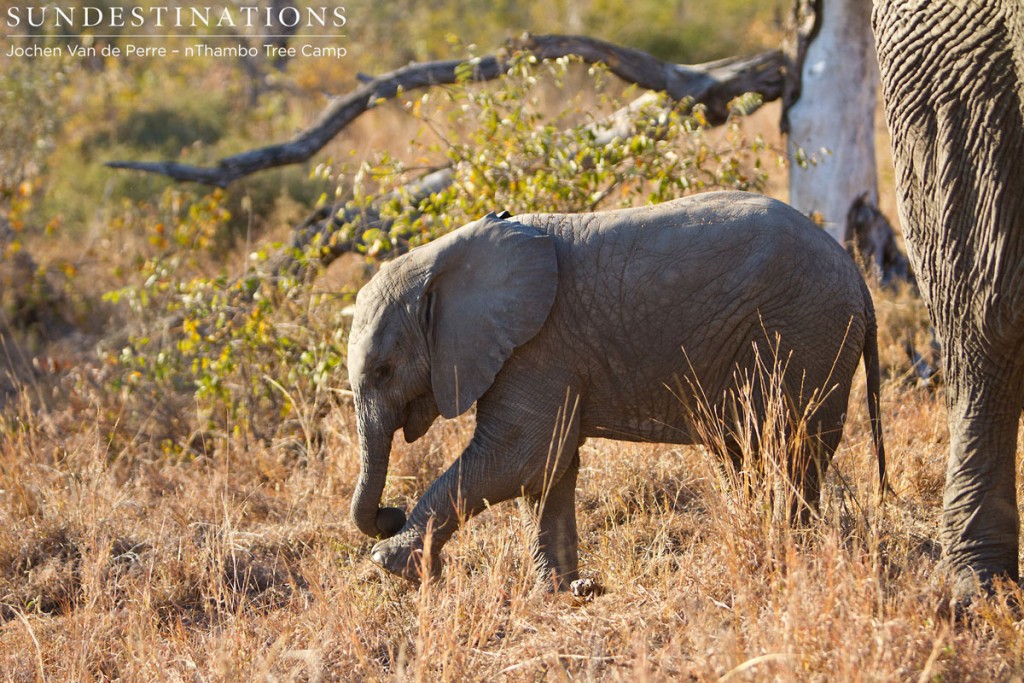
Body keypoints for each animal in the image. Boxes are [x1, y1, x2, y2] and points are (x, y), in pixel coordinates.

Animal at [348, 191, 884, 589]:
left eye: (384, 370)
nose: (389, 512)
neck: (444, 258)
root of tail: (859, 279)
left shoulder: (537, 344)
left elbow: (521, 458)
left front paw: (389, 563)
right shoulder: (538, 350)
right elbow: (551, 467)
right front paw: (568, 590)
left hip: (806, 334)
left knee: (792, 444)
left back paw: (789, 552)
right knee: (747, 448)